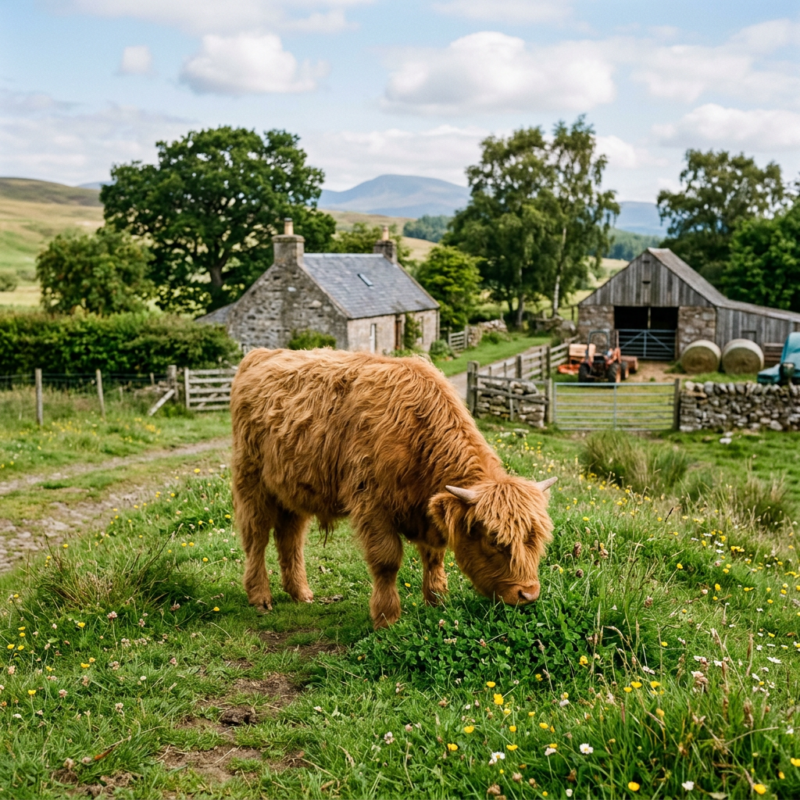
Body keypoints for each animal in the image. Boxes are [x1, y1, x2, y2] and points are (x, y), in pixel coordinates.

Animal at [230, 348, 556, 628]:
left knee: (290, 538)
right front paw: (387, 619)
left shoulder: (428, 514)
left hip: (292, 491)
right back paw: (261, 597)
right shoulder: (373, 507)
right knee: (256, 537)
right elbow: (387, 561)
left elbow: (434, 557)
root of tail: (260, 354)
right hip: (252, 482)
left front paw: (437, 603)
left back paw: (301, 593)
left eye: (537, 539)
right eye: (493, 540)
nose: (528, 594)